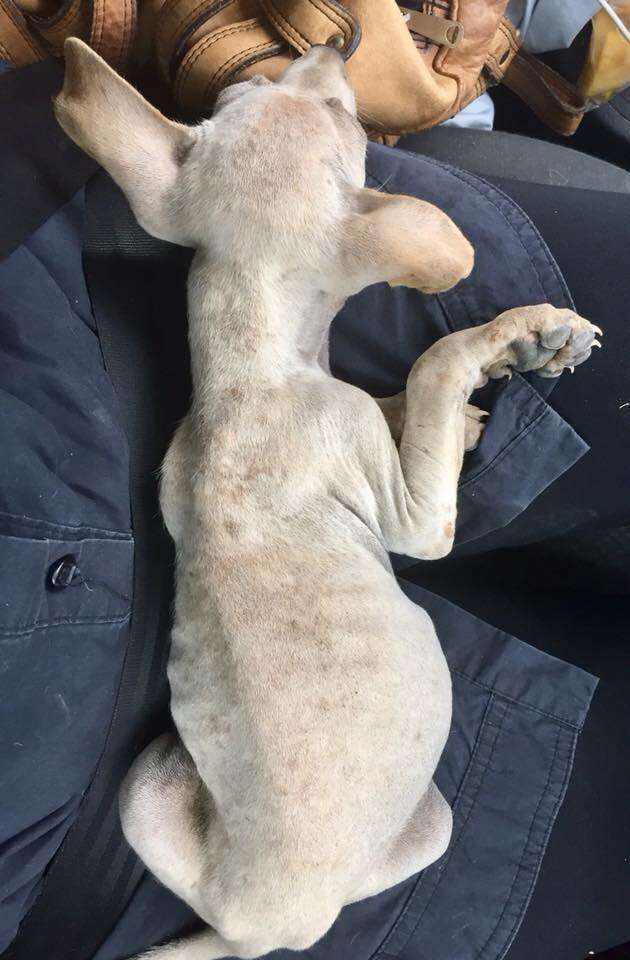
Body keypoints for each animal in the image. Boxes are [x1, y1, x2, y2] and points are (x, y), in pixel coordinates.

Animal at [55, 39, 604, 960]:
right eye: (346, 120)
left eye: (244, 89)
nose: (330, 45)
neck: (253, 364)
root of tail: (259, 927)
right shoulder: (413, 515)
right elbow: (432, 369)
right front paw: (503, 341)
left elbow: (407, 400)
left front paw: (522, 352)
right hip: (430, 820)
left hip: (147, 793)